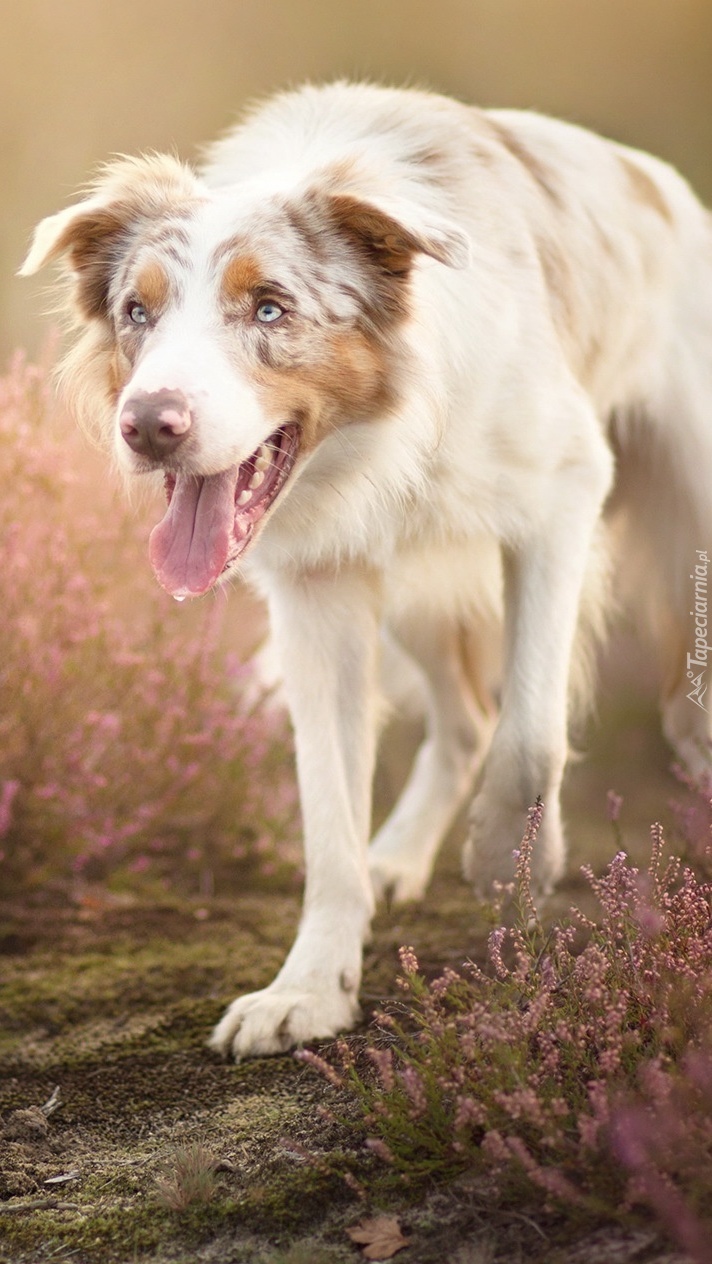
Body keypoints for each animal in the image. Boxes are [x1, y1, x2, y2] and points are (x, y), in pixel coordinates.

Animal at [22, 81, 712, 1056]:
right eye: (137, 312)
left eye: (270, 308)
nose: (149, 425)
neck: (382, 434)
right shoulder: (320, 587)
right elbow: (329, 816)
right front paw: (311, 989)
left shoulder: (562, 493)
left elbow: (532, 735)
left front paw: (508, 861)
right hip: (412, 586)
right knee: (464, 721)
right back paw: (396, 859)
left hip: (684, 502)